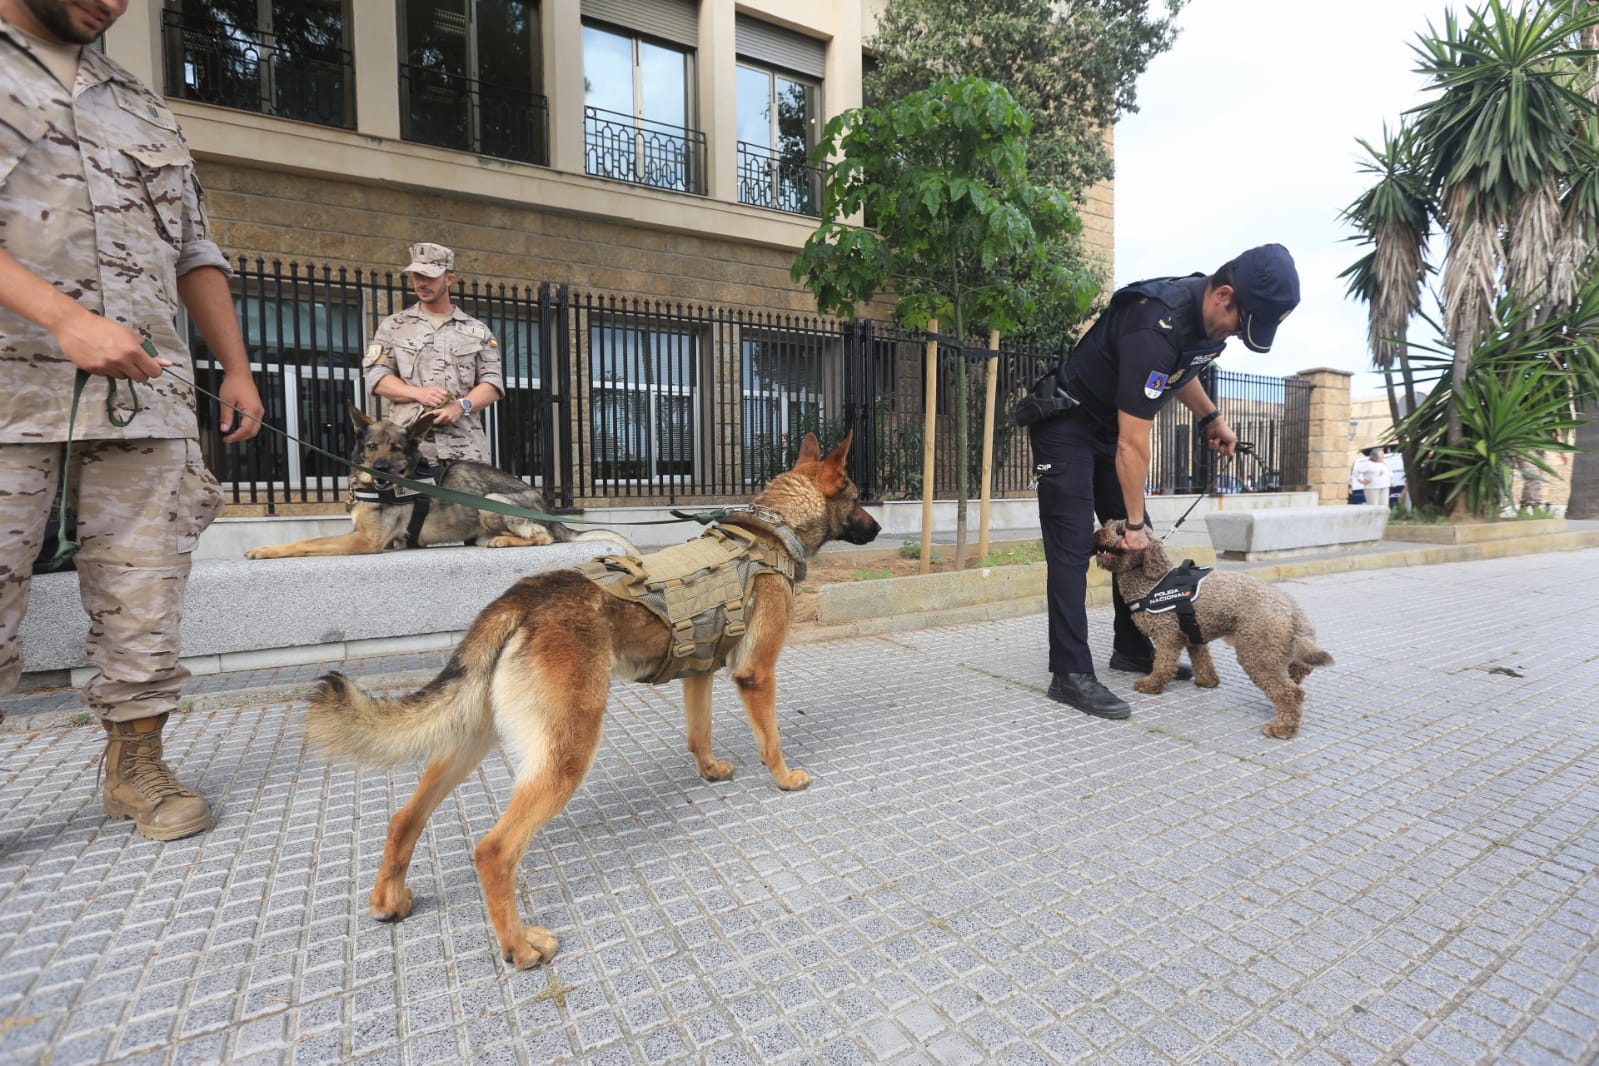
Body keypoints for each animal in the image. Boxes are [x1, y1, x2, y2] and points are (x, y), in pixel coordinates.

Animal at [1087, 517, 1336, 738]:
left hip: (1257, 651)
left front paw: (1151, 684)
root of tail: (1291, 608)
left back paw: (1283, 727)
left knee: (1290, 692)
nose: (1096, 534)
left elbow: (1163, 664)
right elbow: (1202, 661)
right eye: (1107, 524)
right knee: (1299, 671)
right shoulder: (1193, 635)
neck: (1150, 582)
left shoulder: (1168, 636)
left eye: (1120, 531)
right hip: (1279, 647)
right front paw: (1207, 682)